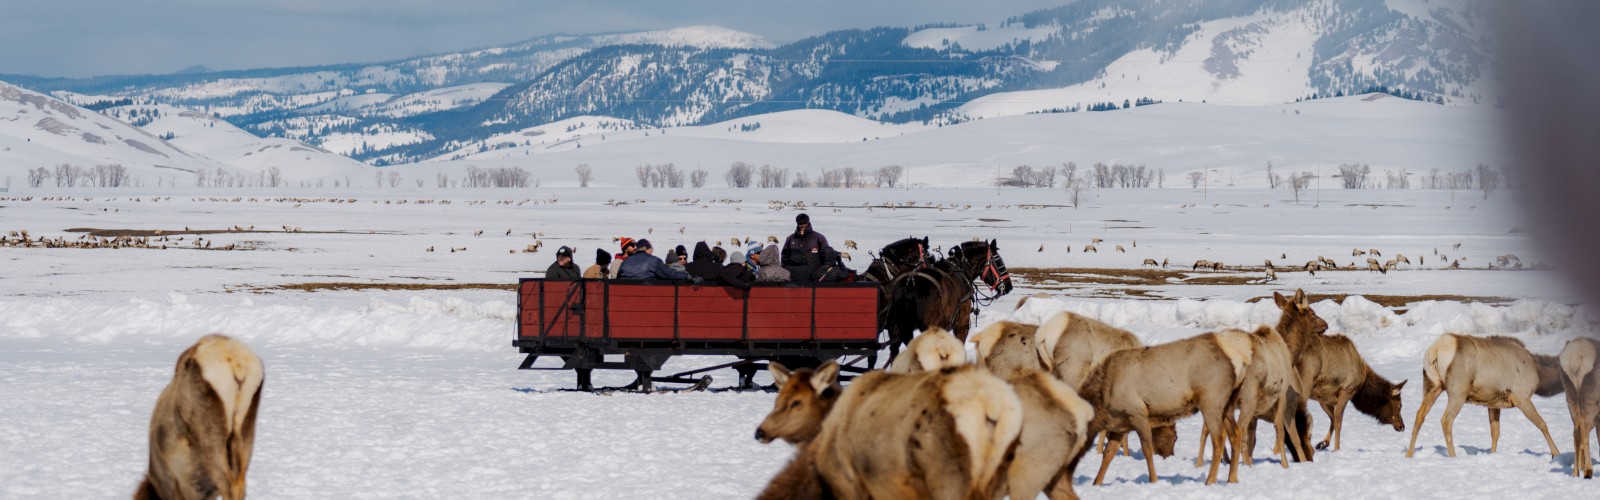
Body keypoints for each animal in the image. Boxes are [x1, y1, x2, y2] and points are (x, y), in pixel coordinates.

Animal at [882, 239, 1013, 361]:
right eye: (999, 261)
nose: (1009, 286)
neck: (961, 269)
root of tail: (911, 284)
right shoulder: (962, 325)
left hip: (897, 328)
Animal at [1406, 333, 1565, 459]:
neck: (1539, 375)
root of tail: (1435, 351)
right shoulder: (1522, 396)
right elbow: (1542, 424)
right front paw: (1555, 453)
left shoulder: (1493, 403)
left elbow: (1495, 432)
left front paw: (1492, 454)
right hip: (1458, 391)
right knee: (1446, 420)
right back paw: (1453, 456)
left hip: (1432, 385)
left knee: (1420, 414)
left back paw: (1409, 454)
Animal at [1561, 338, 1600, 478]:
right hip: (1591, 403)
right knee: (1583, 428)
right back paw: (1588, 471)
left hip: (1571, 399)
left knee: (1576, 431)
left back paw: (1576, 473)